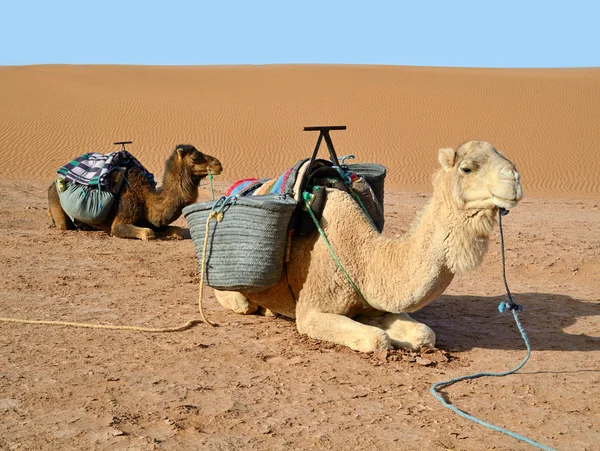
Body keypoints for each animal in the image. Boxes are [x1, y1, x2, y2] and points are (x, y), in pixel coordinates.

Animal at [48, 147, 223, 242]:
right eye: (195, 158)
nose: (218, 164)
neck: (146, 199)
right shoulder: (121, 218)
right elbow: (147, 233)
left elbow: (176, 230)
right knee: (63, 224)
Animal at [214, 141, 520, 354]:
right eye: (467, 168)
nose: (515, 179)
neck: (364, 258)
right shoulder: (311, 312)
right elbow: (377, 338)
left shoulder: (374, 302)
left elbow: (424, 334)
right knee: (239, 301)